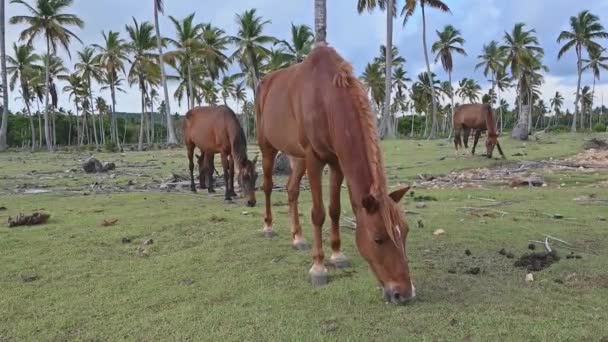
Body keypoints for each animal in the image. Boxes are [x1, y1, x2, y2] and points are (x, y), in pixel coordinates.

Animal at [254, 43, 416, 304]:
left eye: (406, 232)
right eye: (378, 239)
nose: (405, 293)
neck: (325, 99)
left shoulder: (337, 162)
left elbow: (335, 210)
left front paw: (337, 255)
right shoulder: (314, 160)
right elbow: (318, 213)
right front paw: (318, 267)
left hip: (297, 157)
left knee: (291, 189)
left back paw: (298, 238)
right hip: (268, 147)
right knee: (268, 186)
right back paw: (268, 228)